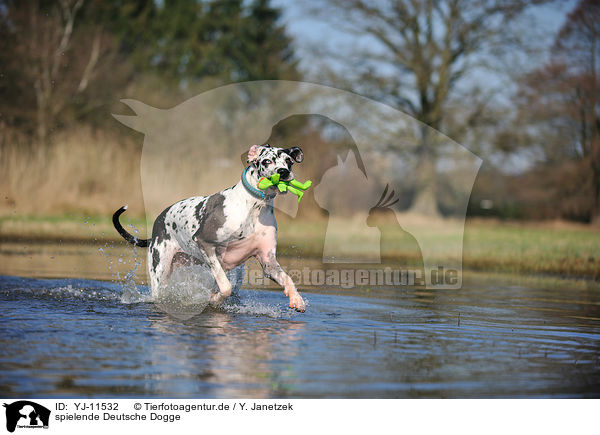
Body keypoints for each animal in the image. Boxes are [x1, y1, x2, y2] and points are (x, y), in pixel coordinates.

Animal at [113, 146, 308, 314]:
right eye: (267, 161)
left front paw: (296, 299)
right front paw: (214, 299)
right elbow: (225, 287)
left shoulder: (268, 261)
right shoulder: (205, 244)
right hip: (160, 272)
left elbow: (288, 279)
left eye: (289, 161)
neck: (255, 207)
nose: (283, 172)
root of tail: (158, 223)